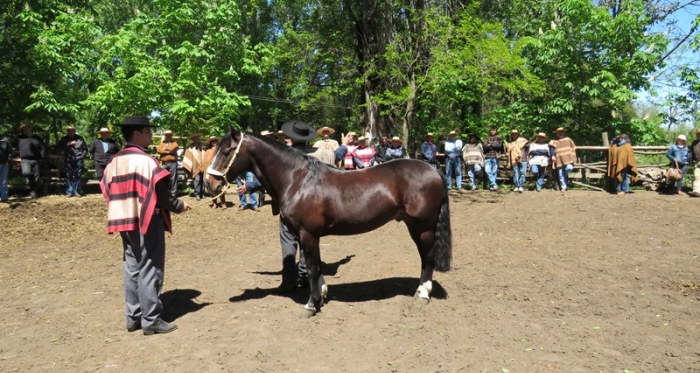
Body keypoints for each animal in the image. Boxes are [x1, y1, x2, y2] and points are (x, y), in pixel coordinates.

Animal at [205, 128, 452, 314]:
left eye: (226, 151)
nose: (209, 184)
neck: (297, 180)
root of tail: (433, 170)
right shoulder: (307, 236)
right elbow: (315, 265)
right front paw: (322, 295)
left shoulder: (308, 234)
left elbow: (313, 267)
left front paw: (311, 304)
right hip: (413, 226)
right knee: (423, 256)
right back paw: (419, 289)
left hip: (424, 227)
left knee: (429, 256)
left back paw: (424, 293)